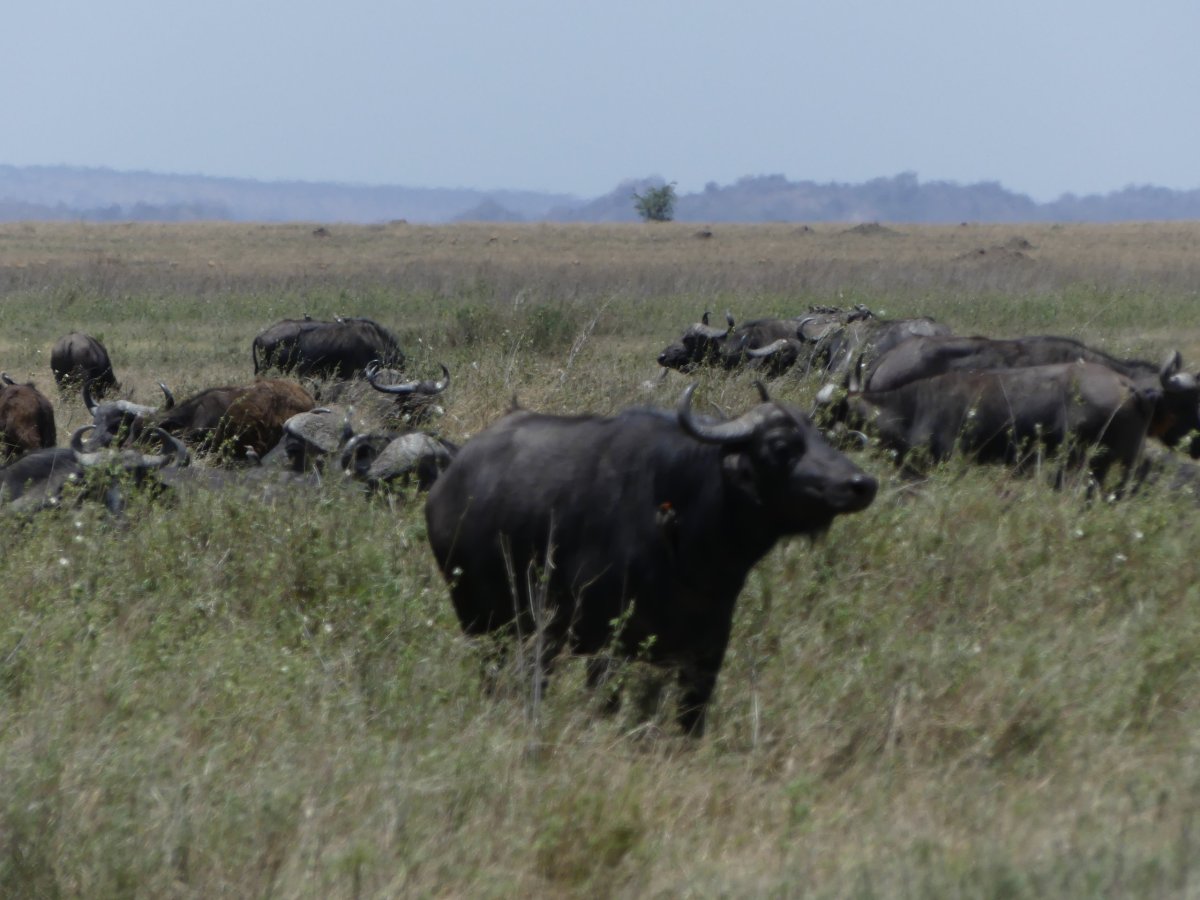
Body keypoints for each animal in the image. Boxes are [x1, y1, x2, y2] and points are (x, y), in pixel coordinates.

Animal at [424, 383, 877, 736]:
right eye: (781, 445)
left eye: (820, 436)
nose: (862, 484)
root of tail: (446, 485)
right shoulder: (606, 648)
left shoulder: (708, 652)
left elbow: (691, 719)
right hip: (481, 621)